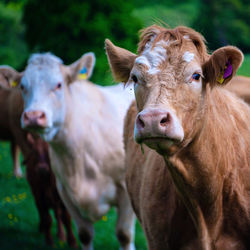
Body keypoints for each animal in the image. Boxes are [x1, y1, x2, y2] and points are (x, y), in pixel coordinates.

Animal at [1, 52, 135, 248]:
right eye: (23, 87)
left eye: (58, 84)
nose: (33, 116)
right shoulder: (64, 192)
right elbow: (84, 234)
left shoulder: (126, 191)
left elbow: (124, 235)